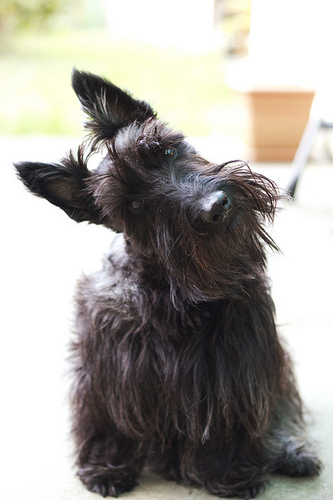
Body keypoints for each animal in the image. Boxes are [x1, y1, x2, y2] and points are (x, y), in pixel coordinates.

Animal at [14, 71, 320, 500]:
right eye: (135, 206)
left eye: (166, 151)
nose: (215, 206)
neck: (172, 295)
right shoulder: (105, 367)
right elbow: (107, 421)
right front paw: (106, 468)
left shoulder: (234, 364)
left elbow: (230, 418)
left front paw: (228, 472)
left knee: (282, 409)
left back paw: (290, 451)